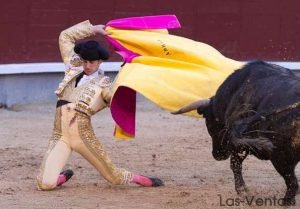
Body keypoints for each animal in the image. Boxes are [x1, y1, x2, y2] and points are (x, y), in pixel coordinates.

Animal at [172, 60, 300, 206]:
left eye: (208, 124)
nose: (217, 155)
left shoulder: (238, 145)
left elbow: (235, 165)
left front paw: (243, 192)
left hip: (280, 157)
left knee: (292, 183)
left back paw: (285, 202)